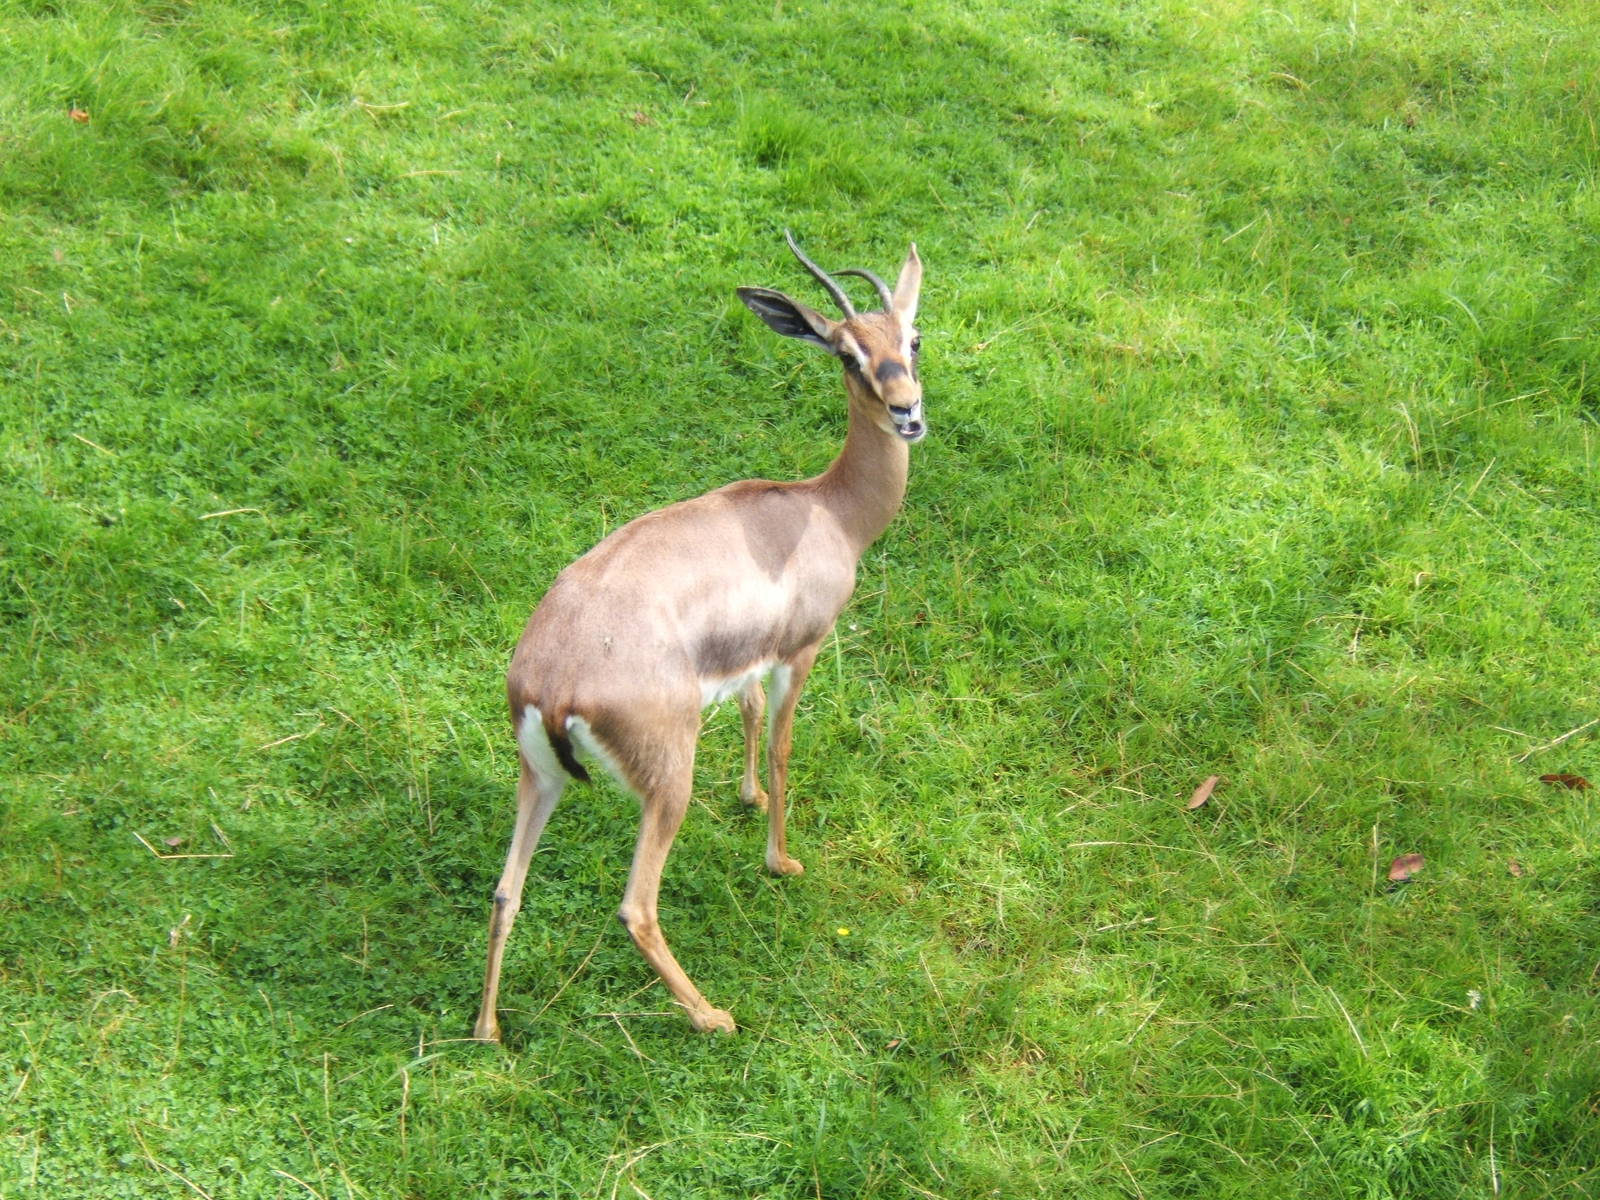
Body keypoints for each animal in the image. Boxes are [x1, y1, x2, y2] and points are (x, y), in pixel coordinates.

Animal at [472, 232, 925, 1040]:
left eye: (913, 338)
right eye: (848, 355)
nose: (908, 411)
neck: (830, 510)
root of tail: (550, 682)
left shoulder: (747, 661)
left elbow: (747, 716)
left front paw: (745, 798)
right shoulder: (801, 651)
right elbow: (781, 746)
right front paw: (782, 861)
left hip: (540, 777)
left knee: (503, 890)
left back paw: (487, 1030)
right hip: (665, 782)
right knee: (636, 906)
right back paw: (713, 1015)